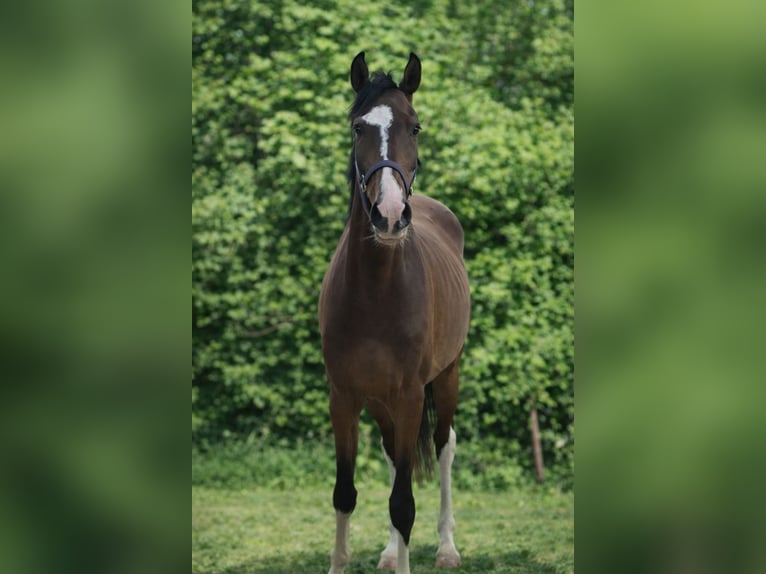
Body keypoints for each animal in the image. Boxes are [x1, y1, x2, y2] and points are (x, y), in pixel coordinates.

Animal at [318, 52, 471, 574]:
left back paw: (446, 548)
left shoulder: (408, 396)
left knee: (444, 447)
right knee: (390, 456)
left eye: (415, 126)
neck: (374, 293)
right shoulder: (344, 397)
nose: (388, 215)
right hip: (382, 402)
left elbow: (403, 503)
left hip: (446, 377)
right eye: (358, 127)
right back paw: (389, 552)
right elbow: (345, 493)